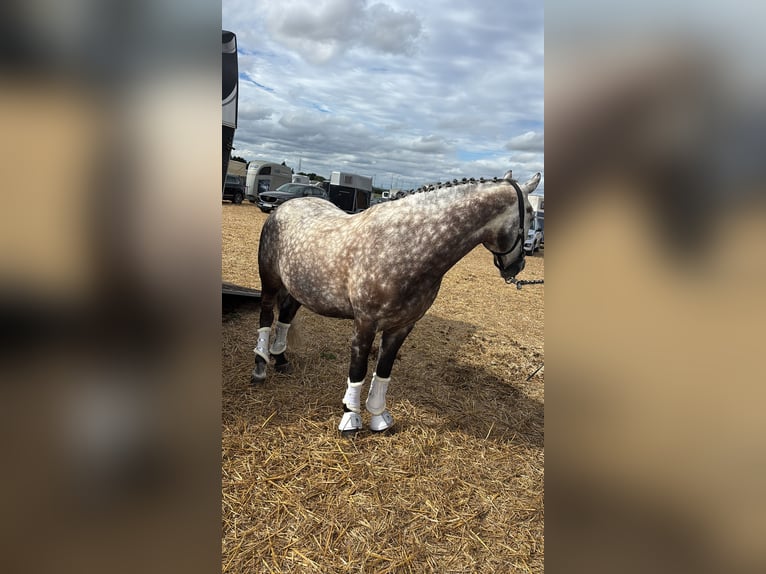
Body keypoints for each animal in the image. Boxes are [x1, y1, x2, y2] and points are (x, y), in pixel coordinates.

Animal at [250, 170, 541, 434]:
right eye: (530, 213)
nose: (516, 266)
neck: (403, 246)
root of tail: (283, 207)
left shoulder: (402, 326)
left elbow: (383, 371)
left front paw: (379, 417)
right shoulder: (365, 324)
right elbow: (358, 370)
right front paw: (350, 418)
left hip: (299, 289)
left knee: (285, 318)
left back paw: (281, 359)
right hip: (270, 281)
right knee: (266, 317)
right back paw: (260, 367)